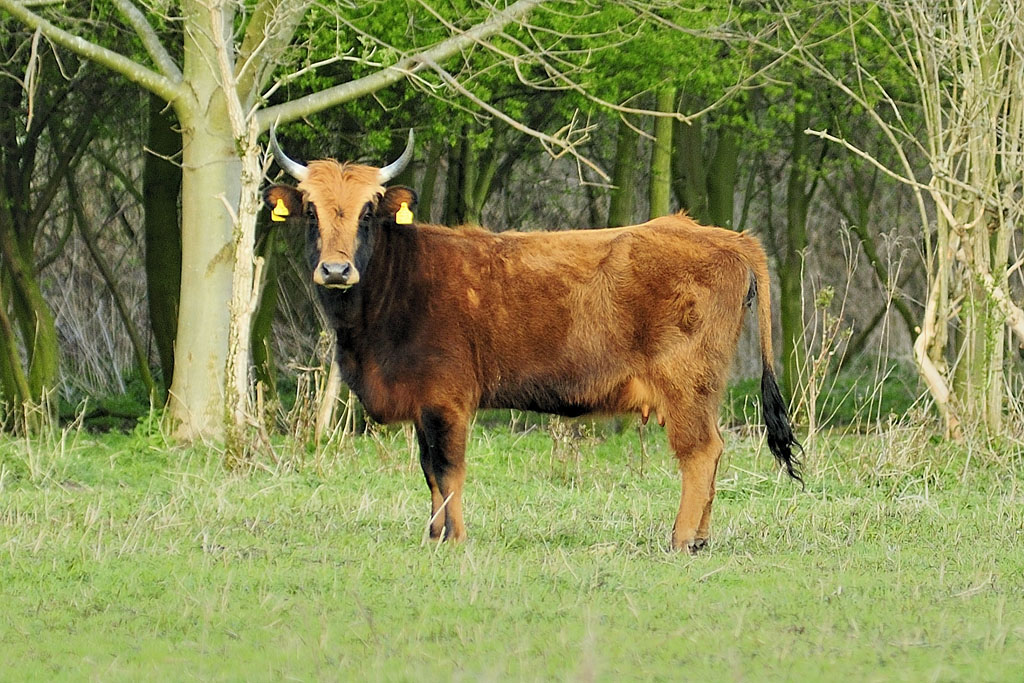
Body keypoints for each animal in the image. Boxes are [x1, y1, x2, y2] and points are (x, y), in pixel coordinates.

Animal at [263, 126, 801, 552]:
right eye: (311, 211)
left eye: (368, 211)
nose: (336, 270)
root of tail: (723, 235)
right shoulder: (423, 404)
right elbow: (429, 471)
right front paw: (434, 534)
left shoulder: (447, 400)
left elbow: (449, 469)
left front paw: (454, 538)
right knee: (710, 456)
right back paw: (701, 538)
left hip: (686, 385)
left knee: (700, 452)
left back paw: (682, 539)